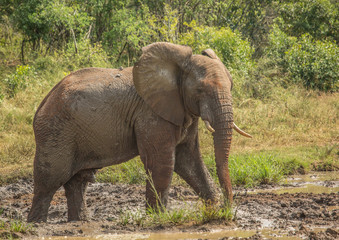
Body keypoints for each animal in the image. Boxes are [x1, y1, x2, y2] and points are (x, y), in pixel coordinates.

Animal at [27, 41, 252, 223]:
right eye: (200, 91)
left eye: (231, 86)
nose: (227, 210)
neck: (177, 68)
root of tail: (43, 103)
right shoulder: (151, 115)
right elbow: (162, 163)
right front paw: (159, 218)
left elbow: (188, 161)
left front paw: (213, 211)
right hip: (55, 133)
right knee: (49, 182)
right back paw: (36, 224)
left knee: (77, 182)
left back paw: (79, 222)